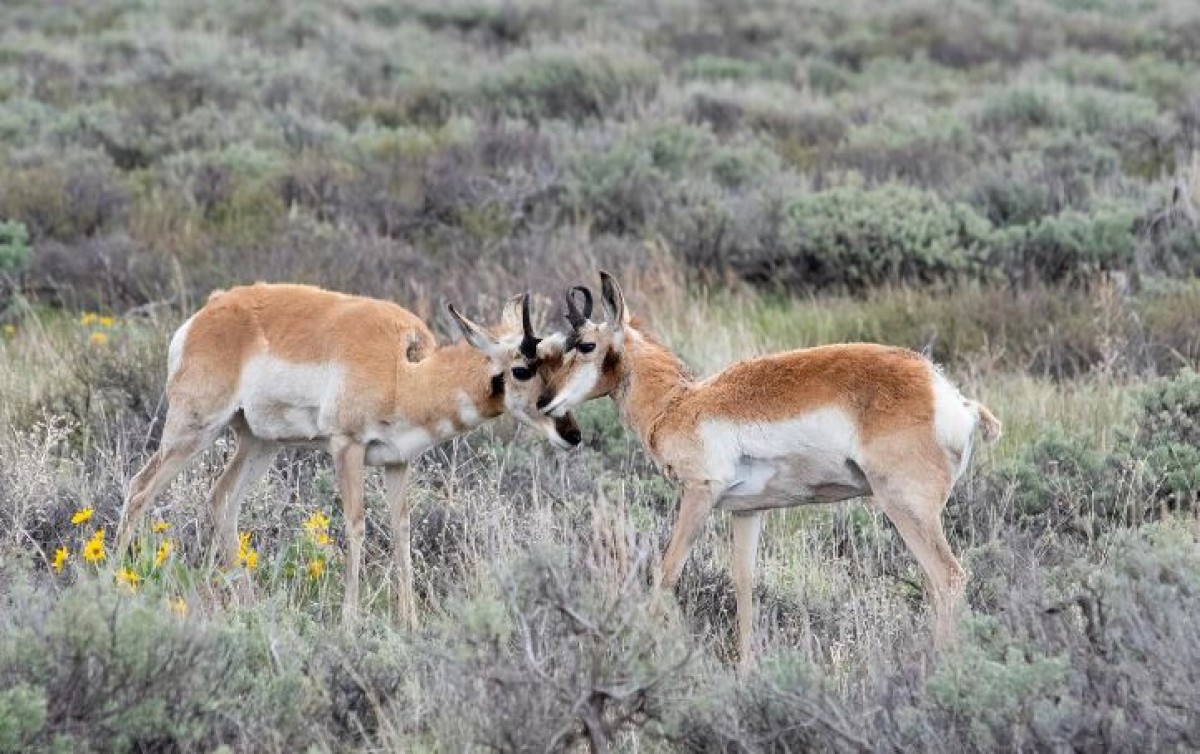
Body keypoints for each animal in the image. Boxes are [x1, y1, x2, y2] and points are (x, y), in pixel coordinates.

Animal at [114, 283, 578, 624]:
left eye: (560, 364)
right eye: (521, 369)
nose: (571, 434)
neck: (405, 373)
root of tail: (208, 312)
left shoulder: (397, 462)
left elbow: (401, 528)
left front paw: (409, 621)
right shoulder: (347, 449)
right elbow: (355, 524)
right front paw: (350, 620)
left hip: (258, 443)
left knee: (222, 498)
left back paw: (248, 603)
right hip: (193, 430)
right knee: (140, 489)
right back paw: (115, 582)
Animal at [540, 273, 998, 662]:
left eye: (584, 345)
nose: (545, 403)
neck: (680, 402)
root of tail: (952, 398)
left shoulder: (699, 495)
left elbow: (667, 571)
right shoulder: (747, 511)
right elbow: (743, 583)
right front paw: (747, 669)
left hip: (906, 509)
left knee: (948, 579)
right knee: (937, 585)